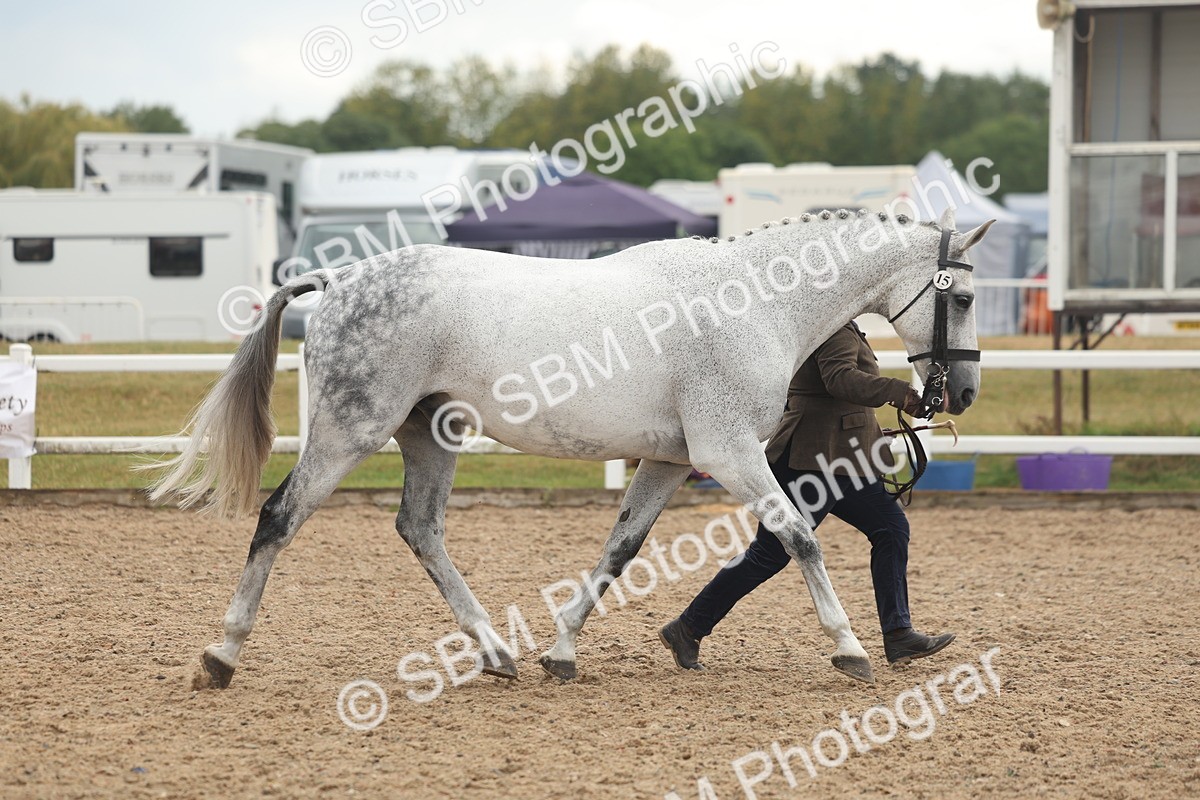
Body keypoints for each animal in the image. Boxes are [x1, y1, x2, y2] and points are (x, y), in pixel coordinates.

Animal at [148, 206, 989, 690]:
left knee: (420, 528)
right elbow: (799, 538)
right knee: (280, 518)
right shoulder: (728, 453)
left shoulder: (670, 461)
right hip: (351, 428)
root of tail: (340, 278)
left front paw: (561, 652)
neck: (755, 302)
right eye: (967, 297)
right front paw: (849, 649)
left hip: (430, 433)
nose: (962, 395)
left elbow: (619, 551)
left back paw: (499, 655)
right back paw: (221, 657)